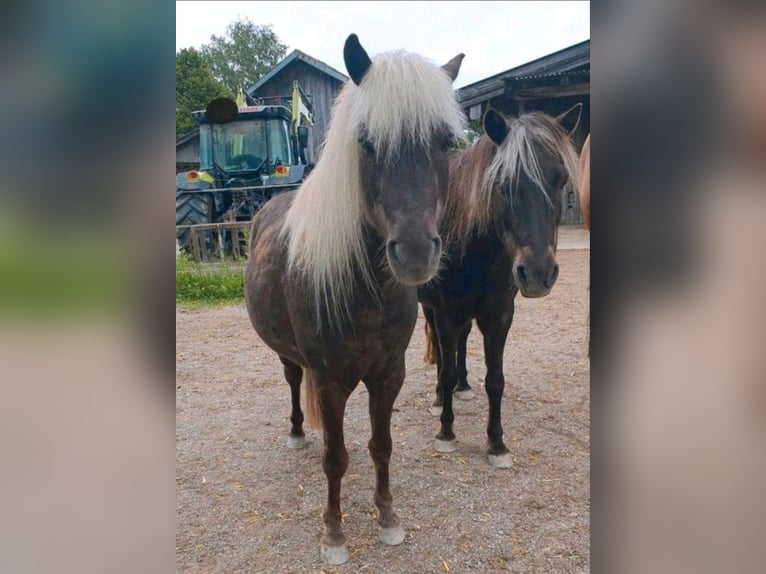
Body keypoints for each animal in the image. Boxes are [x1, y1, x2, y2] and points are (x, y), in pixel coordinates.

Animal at [244, 34, 465, 565]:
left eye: (444, 142)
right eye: (366, 142)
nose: (415, 252)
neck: (367, 293)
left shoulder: (388, 375)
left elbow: (380, 445)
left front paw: (387, 517)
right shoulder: (329, 380)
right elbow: (336, 457)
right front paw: (334, 533)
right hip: (290, 358)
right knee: (292, 383)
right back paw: (298, 432)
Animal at [418, 105, 582, 467]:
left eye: (561, 180)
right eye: (504, 184)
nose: (537, 273)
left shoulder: (499, 315)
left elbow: (495, 380)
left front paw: (496, 443)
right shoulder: (447, 313)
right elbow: (445, 370)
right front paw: (446, 433)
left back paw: (464, 387)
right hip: (431, 308)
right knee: (441, 352)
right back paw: (439, 398)